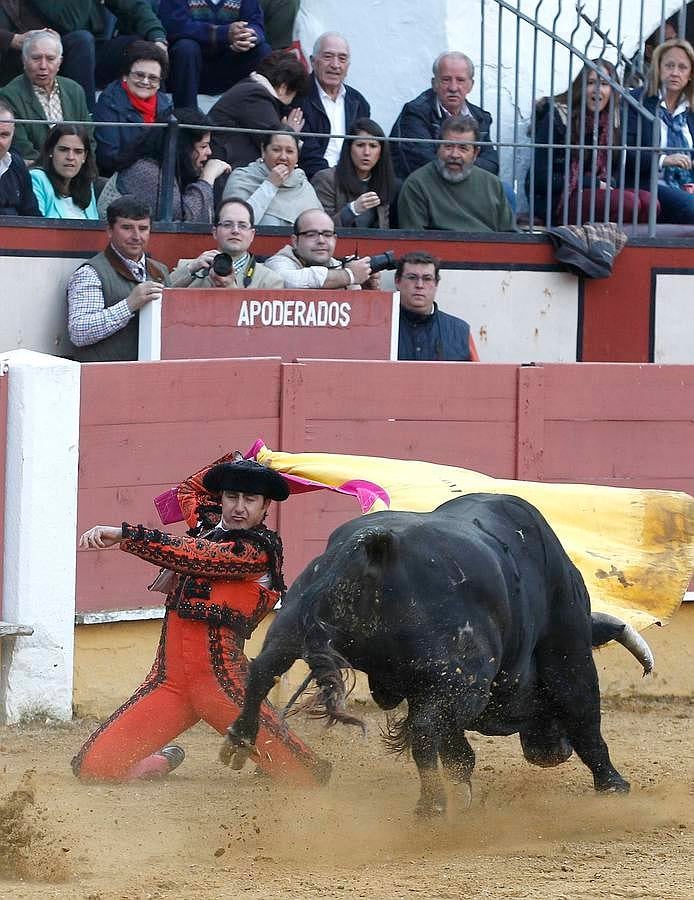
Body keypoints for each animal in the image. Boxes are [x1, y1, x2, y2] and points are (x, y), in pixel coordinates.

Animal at [224, 492, 656, 816]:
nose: (550, 754)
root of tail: (376, 546)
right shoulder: (567, 650)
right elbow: (584, 715)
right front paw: (614, 785)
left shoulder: (430, 687)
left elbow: (453, 745)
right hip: (463, 681)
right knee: (424, 730)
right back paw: (431, 806)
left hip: (291, 624)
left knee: (262, 671)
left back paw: (239, 741)